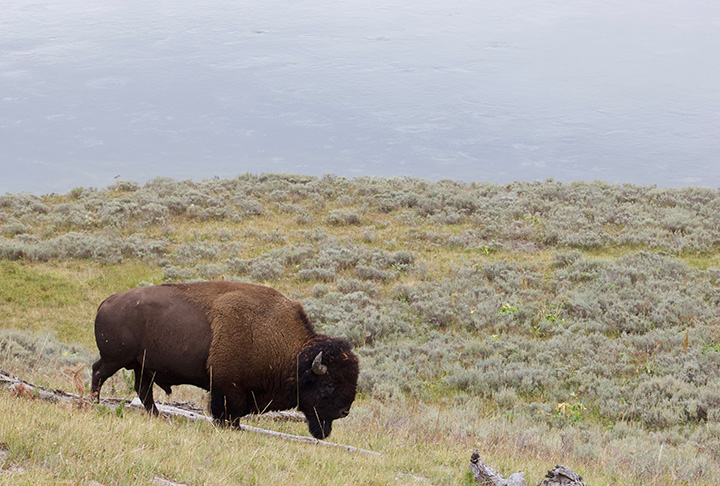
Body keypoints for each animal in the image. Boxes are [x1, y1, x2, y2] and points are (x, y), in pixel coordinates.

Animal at [91, 281, 359, 439]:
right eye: (328, 385)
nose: (344, 411)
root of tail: (106, 302)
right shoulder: (227, 387)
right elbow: (226, 411)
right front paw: (230, 428)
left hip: (142, 367)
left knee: (142, 390)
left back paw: (157, 417)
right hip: (115, 359)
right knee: (98, 373)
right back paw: (95, 404)